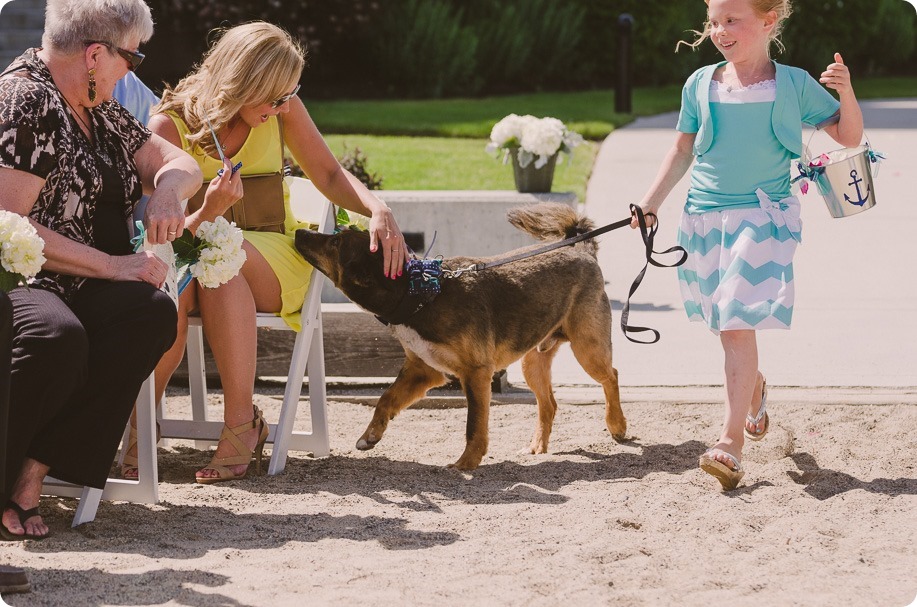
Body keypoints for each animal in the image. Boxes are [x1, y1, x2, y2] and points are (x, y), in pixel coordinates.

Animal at [296, 203, 624, 470]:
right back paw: (537, 446)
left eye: (336, 242)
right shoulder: (423, 370)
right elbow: (385, 399)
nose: (299, 231)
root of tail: (580, 249)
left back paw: (617, 424)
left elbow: (474, 425)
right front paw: (370, 436)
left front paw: (466, 464)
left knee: (612, 376)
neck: (420, 292)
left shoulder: (476, 373)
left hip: (588, 348)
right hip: (533, 362)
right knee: (550, 404)